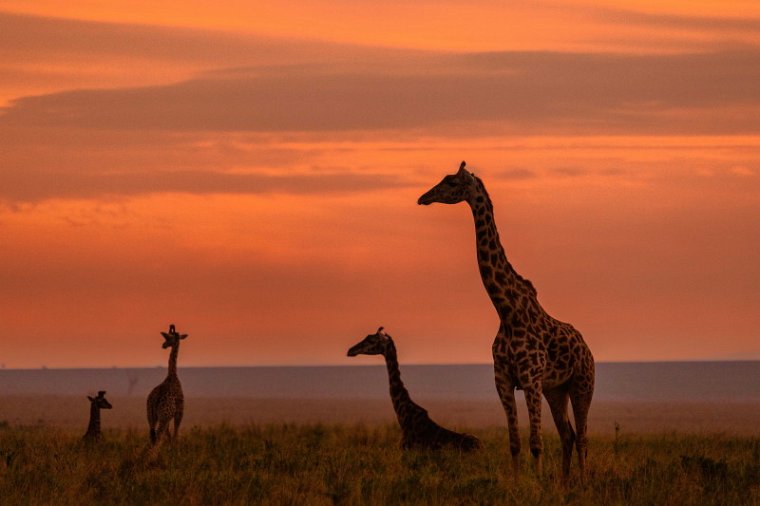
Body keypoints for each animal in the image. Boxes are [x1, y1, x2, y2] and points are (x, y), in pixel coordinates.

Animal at [418, 162, 596, 482]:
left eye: (451, 182)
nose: (423, 198)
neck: (507, 311)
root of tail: (587, 348)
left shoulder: (530, 378)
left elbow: (536, 442)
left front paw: (537, 484)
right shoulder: (503, 379)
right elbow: (514, 442)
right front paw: (516, 484)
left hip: (582, 383)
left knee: (583, 438)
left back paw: (583, 482)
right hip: (556, 389)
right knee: (569, 435)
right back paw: (564, 484)